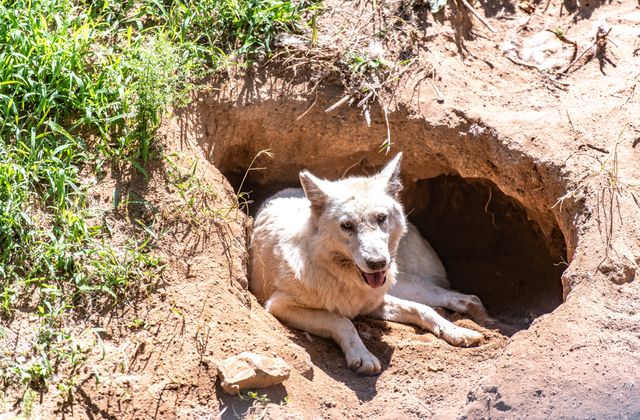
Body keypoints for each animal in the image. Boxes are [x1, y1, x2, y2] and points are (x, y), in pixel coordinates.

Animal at [248, 153, 488, 374]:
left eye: (381, 218)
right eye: (347, 225)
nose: (377, 263)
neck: (341, 277)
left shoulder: (374, 301)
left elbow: (420, 309)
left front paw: (456, 332)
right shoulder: (278, 305)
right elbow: (341, 320)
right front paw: (363, 356)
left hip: (402, 284)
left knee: (458, 298)